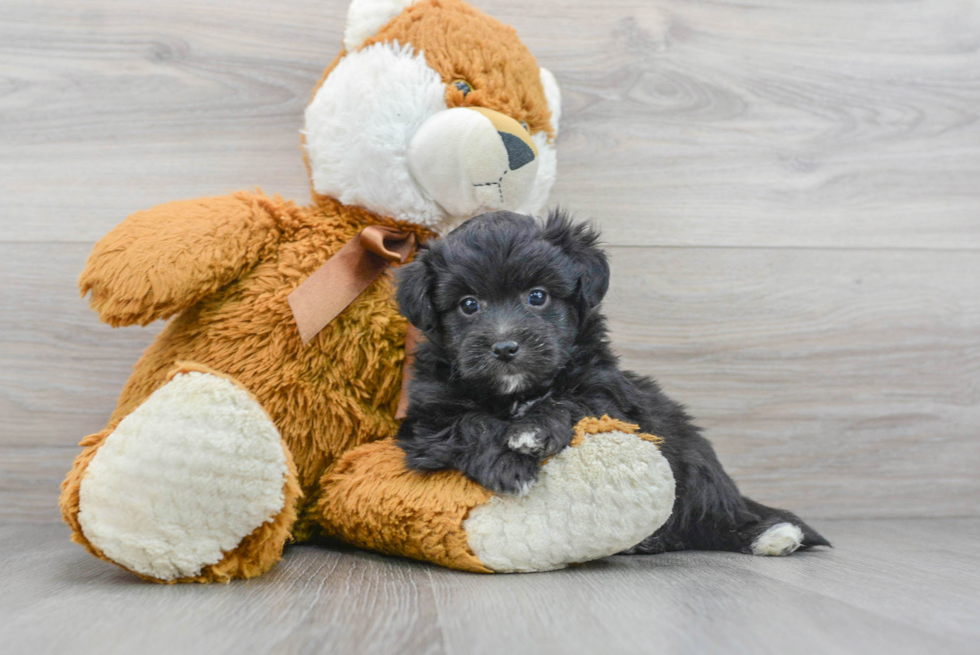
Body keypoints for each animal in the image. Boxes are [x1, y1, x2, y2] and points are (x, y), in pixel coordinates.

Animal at [392, 211, 828, 560]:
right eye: (468, 305)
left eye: (537, 297)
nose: (505, 347)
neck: (516, 392)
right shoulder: (428, 420)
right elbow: (470, 424)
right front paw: (508, 465)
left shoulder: (609, 397)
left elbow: (572, 402)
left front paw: (532, 430)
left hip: (695, 460)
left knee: (716, 514)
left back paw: (769, 535)